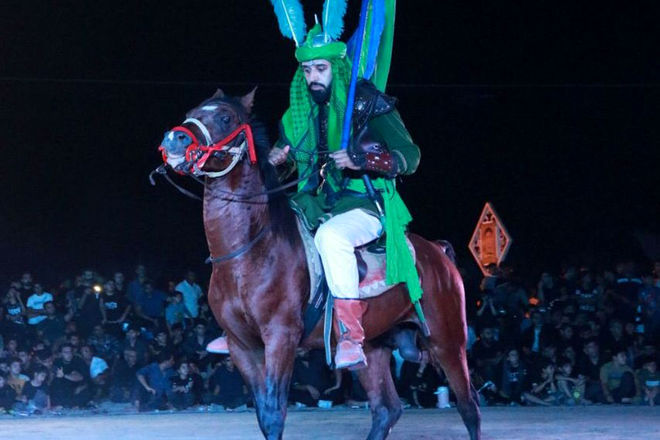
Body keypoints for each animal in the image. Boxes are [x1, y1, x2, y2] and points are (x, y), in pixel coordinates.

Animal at [158, 89, 482, 440]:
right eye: (191, 112)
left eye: (225, 117)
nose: (174, 139)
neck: (248, 253)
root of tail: (437, 252)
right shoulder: (241, 345)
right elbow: (263, 415)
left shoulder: (280, 337)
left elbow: (273, 414)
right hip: (373, 346)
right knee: (387, 409)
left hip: (447, 339)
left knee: (469, 407)